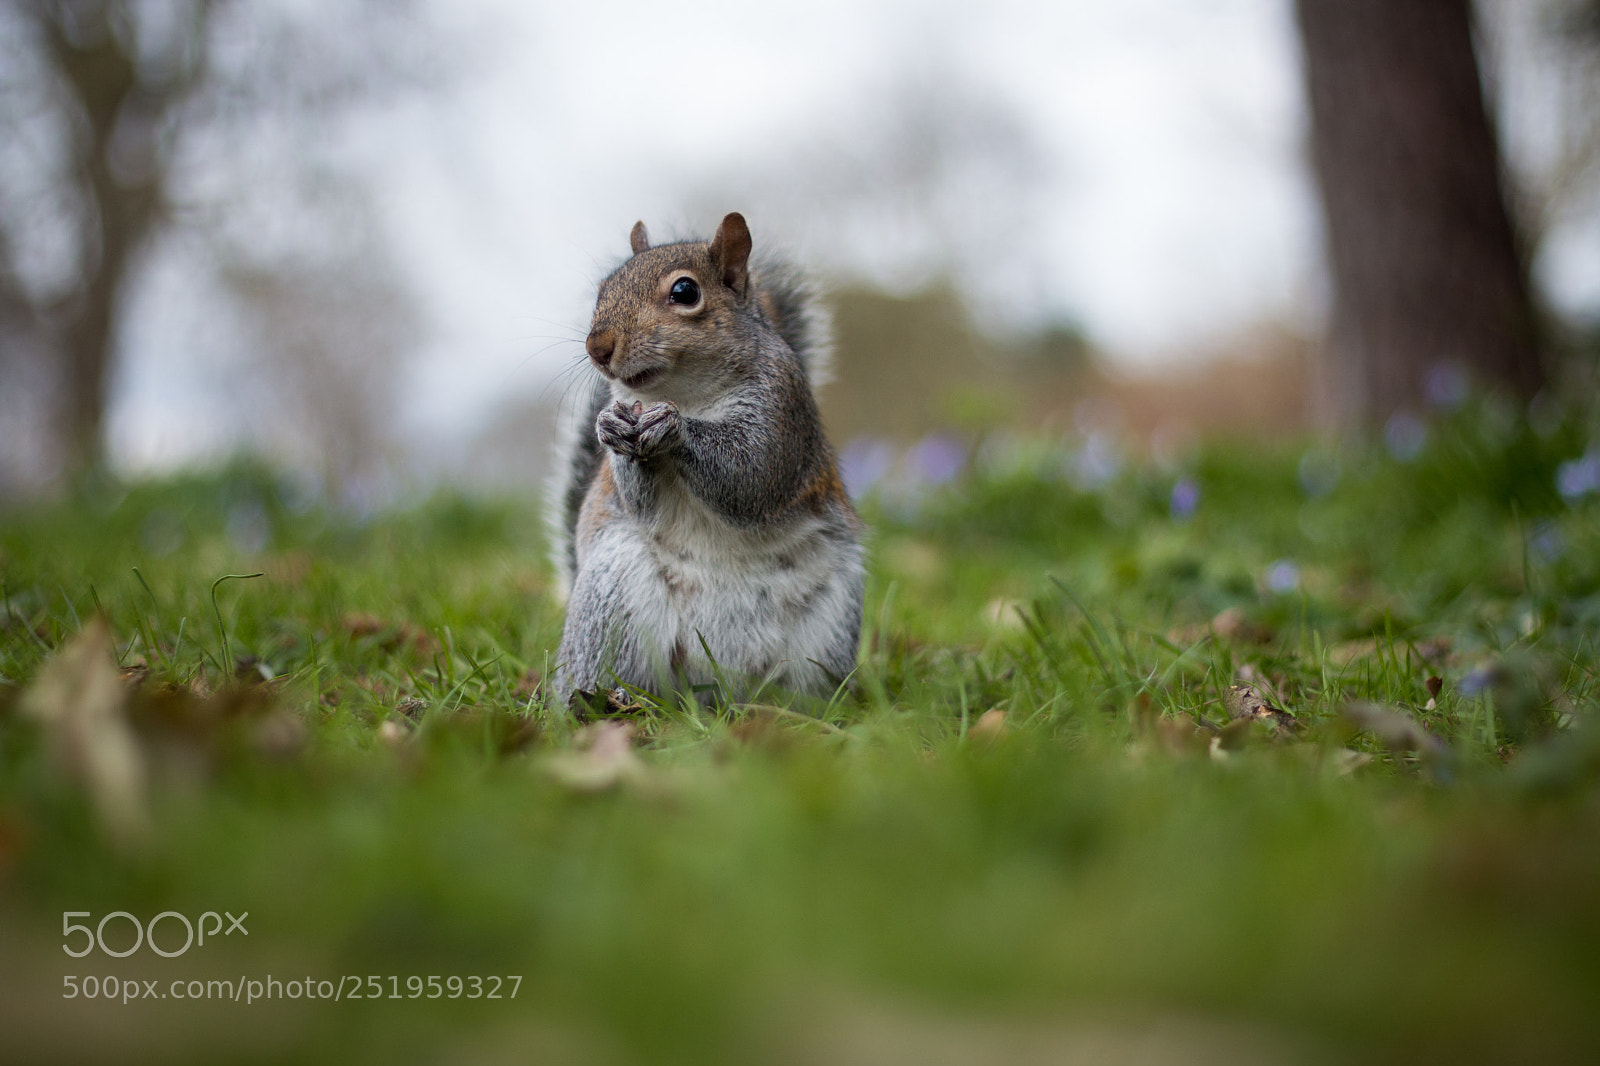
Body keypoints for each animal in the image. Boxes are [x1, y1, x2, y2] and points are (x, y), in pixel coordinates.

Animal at [548, 212, 864, 708]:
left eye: (685, 292)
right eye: (603, 288)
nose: (598, 347)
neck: (685, 392)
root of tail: (716, 696)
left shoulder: (782, 409)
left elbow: (751, 473)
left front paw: (674, 428)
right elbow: (641, 502)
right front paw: (611, 425)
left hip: (830, 628)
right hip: (612, 601)